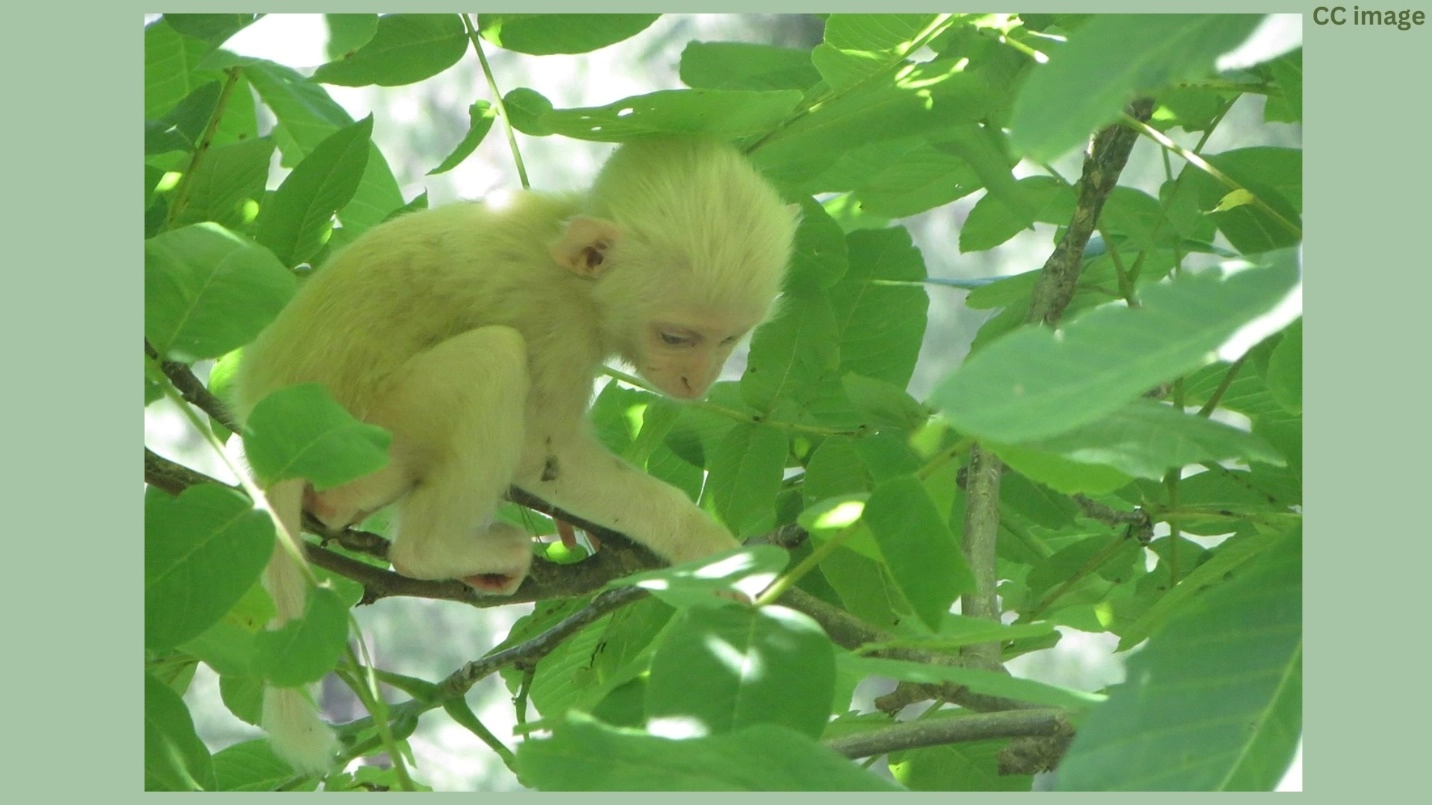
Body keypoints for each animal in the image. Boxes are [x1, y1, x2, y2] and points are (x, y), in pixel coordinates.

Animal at [230, 136, 799, 773]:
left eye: (727, 339)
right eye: (676, 337)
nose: (694, 381)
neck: (572, 271)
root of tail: (265, 440)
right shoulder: (554, 321)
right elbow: (542, 454)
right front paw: (711, 552)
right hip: (363, 435)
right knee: (495, 359)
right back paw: (433, 551)